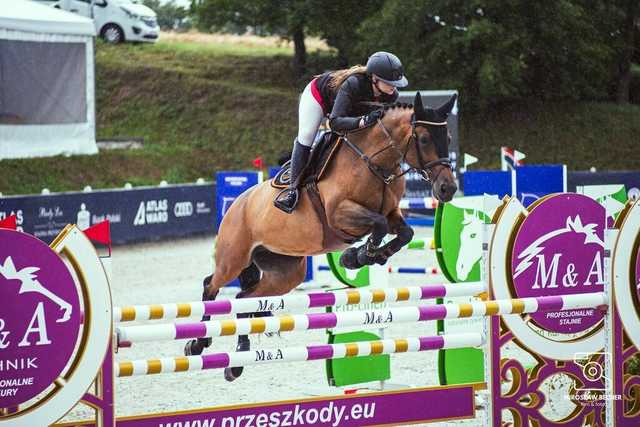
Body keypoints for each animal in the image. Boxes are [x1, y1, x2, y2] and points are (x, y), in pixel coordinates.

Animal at [185, 92, 460, 382]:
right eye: (424, 139)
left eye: (448, 138)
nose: (448, 188)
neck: (374, 164)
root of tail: (238, 203)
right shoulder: (339, 214)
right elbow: (379, 224)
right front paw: (357, 256)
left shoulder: (392, 211)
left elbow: (404, 232)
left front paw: (365, 256)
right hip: (233, 258)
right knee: (211, 286)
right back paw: (198, 343)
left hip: (284, 272)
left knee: (244, 299)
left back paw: (238, 360)